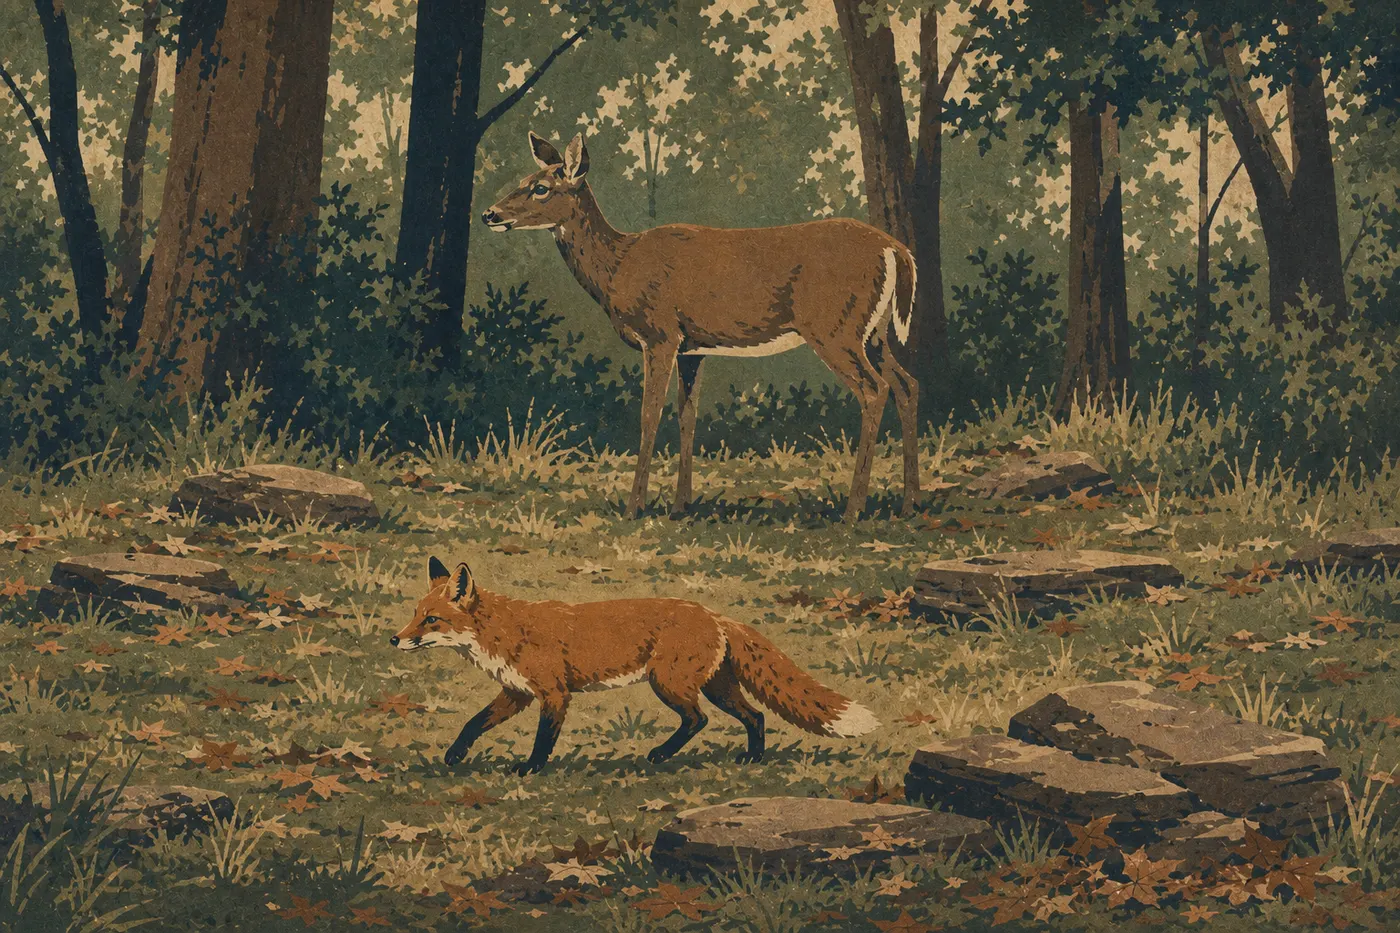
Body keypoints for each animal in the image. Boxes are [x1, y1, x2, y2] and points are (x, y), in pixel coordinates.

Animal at [482, 132, 920, 523]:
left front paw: (634, 508)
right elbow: (686, 415)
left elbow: (648, 415)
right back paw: (908, 504)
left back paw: (853, 510)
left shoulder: (660, 334)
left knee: (874, 390)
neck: (618, 268)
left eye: (540, 188)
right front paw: (681, 506)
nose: (489, 214)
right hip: (874, 332)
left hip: (835, 327)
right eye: (523, 179)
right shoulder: (692, 348)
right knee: (907, 384)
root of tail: (897, 250)